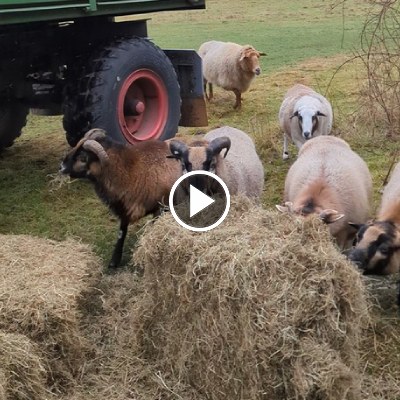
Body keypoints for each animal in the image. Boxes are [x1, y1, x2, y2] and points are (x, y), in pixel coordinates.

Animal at [59, 128, 181, 268]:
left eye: (83, 158)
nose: (61, 167)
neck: (131, 171)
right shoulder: (124, 209)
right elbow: (121, 233)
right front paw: (114, 261)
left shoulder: (160, 208)